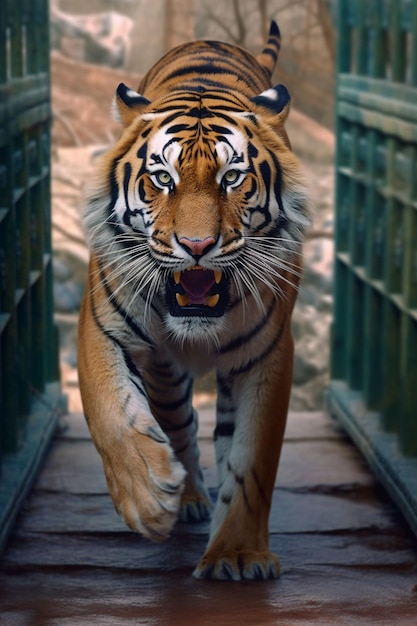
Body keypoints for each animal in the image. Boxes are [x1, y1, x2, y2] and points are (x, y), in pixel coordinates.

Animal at [79, 22, 308, 584]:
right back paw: (185, 497)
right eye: (163, 178)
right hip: (164, 374)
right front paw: (147, 499)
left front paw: (238, 554)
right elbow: (109, 413)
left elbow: (251, 458)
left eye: (233, 178)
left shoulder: (268, 355)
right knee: (179, 424)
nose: (198, 246)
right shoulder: (100, 327)